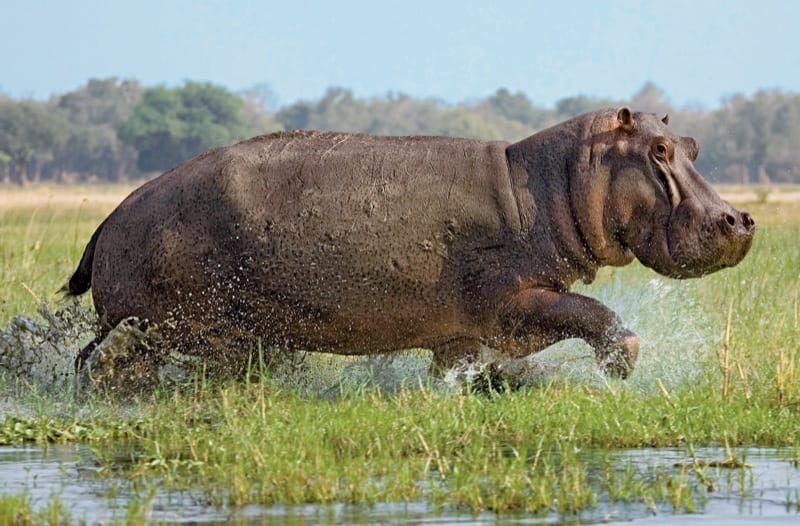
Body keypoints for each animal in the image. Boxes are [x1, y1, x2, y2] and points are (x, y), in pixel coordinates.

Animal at [66, 107, 754, 381]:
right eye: (657, 150)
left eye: (690, 145)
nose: (740, 219)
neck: (554, 180)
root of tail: (109, 218)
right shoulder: (512, 303)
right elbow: (589, 313)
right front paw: (623, 363)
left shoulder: (470, 330)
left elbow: (466, 363)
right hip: (163, 321)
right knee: (112, 358)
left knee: (89, 356)